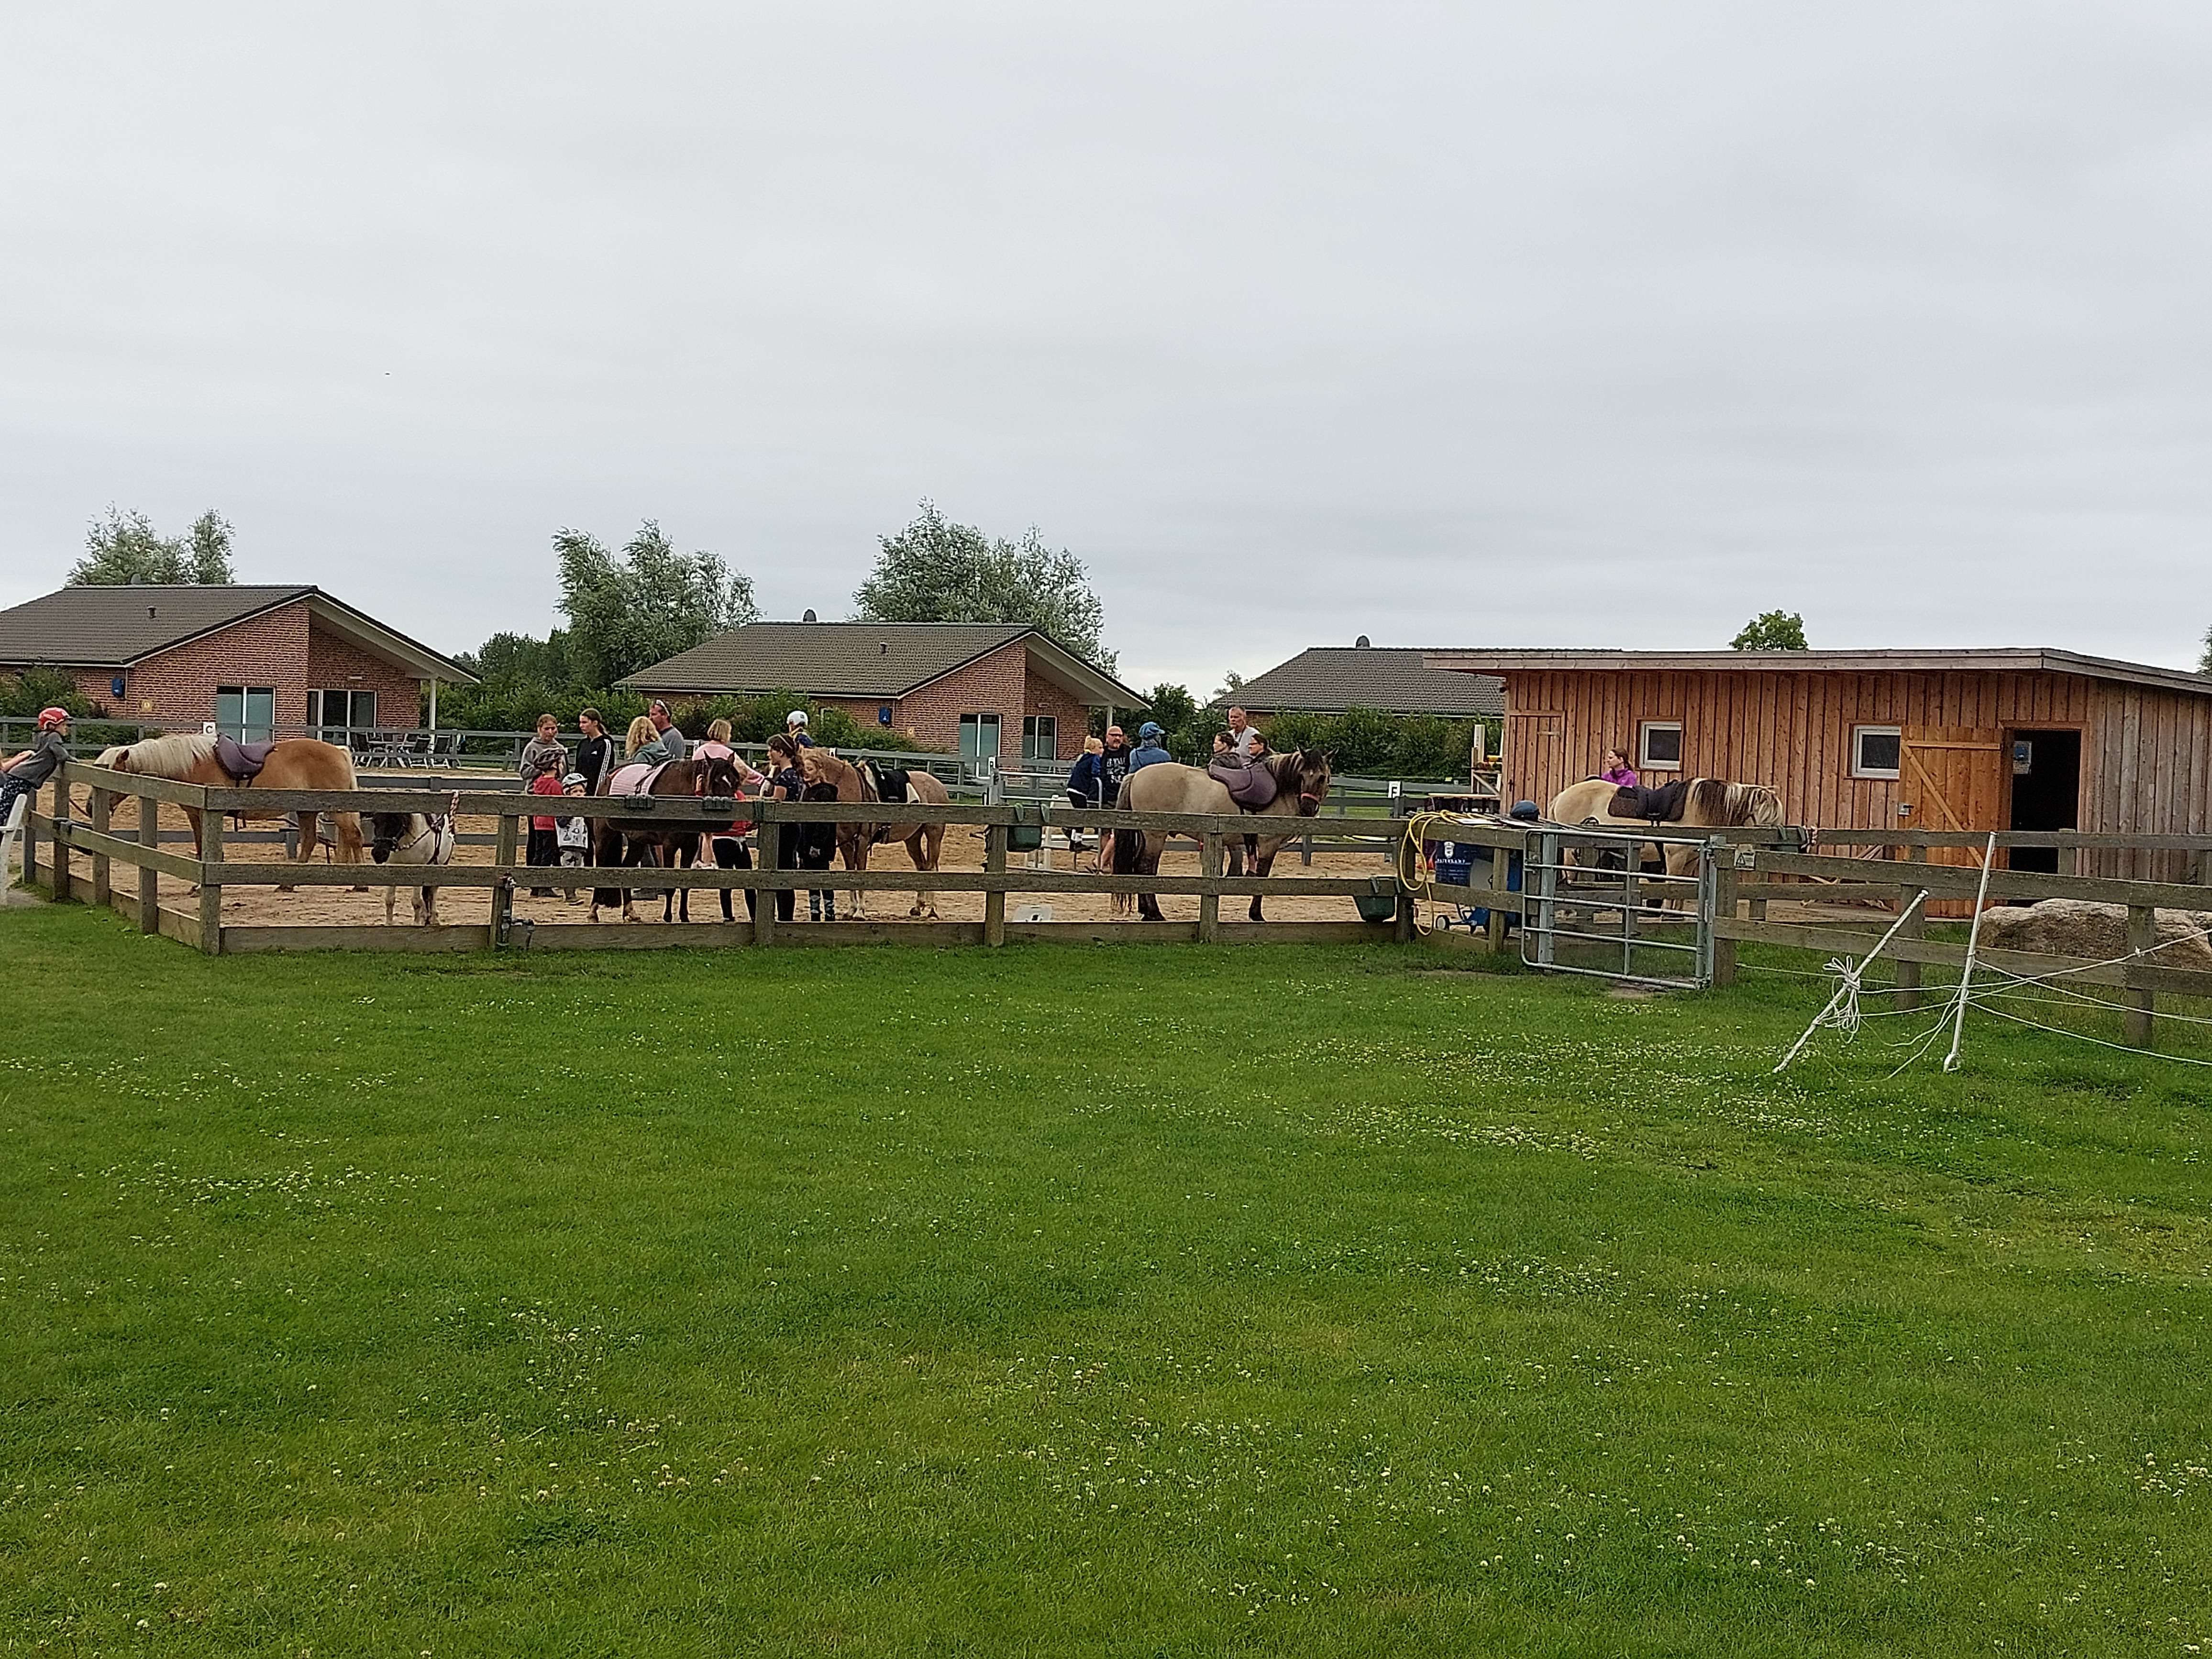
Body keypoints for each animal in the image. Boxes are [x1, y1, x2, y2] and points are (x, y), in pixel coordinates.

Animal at [94, 739, 363, 898]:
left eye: (114, 771)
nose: (89, 806)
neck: (192, 763)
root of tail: (338, 751)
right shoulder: (195, 814)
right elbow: (200, 849)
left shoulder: (206, 813)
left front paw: (200, 886)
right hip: (307, 811)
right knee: (309, 841)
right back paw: (289, 884)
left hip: (336, 810)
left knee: (354, 836)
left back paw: (360, 884)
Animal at [809, 752, 955, 924]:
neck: (851, 786)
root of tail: (938, 785)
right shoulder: (846, 842)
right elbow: (851, 872)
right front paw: (851, 911)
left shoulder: (862, 841)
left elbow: (860, 873)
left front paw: (860, 913)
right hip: (913, 839)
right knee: (922, 867)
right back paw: (918, 907)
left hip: (934, 835)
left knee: (932, 867)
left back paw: (933, 910)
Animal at [1106, 752, 1327, 924]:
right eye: (1302, 775)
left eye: (1322, 777)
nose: (1308, 808)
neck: (1280, 788)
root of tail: (1136, 775)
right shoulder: (1268, 843)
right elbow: (1262, 877)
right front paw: (1256, 915)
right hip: (1155, 836)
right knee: (1146, 868)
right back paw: (1155, 914)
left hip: (1145, 836)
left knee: (1139, 870)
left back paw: (1145, 912)